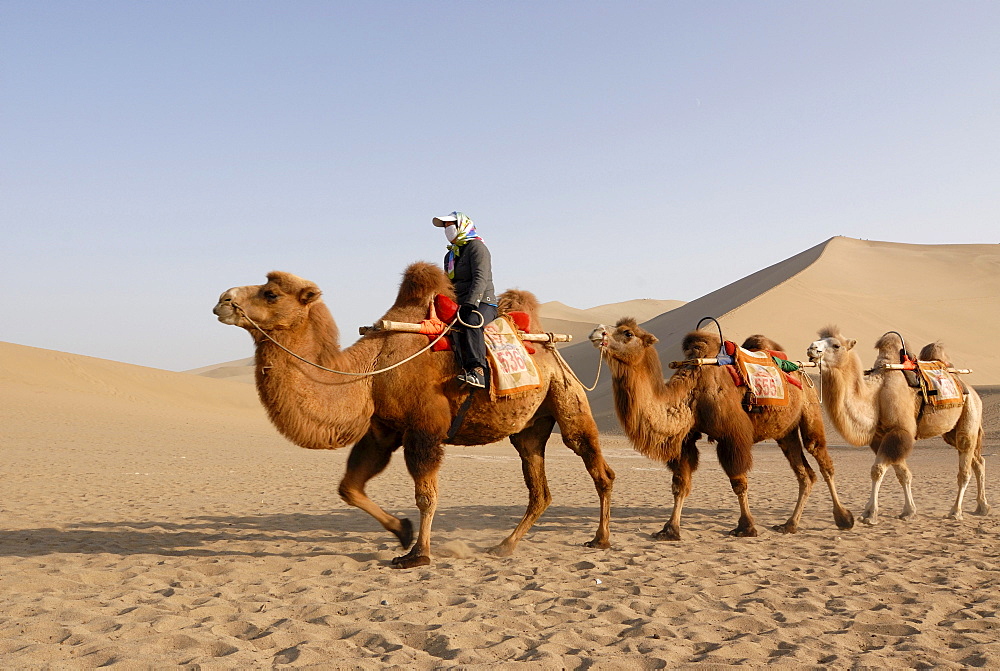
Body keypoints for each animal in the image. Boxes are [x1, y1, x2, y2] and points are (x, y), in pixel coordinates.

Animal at [213, 262, 616, 568]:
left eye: (271, 293)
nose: (222, 299)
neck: (371, 369)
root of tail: (548, 343)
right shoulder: (383, 431)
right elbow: (350, 487)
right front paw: (402, 531)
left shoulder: (423, 430)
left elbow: (426, 495)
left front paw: (418, 554)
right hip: (529, 426)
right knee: (539, 488)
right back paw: (505, 545)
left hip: (568, 400)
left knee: (597, 467)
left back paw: (600, 539)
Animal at [588, 320, 856, 540]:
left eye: (627, 332)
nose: (596, 332)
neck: (692, 389)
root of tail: (800, 369)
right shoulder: (686, 440)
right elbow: (680, 484)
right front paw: (670, 529)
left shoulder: (731, 436)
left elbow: (739, 482)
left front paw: (746, 526)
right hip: (785, 433)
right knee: (805, 474)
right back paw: (789, 524)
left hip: (810, 411)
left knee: (822, 460)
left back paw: (844, 518)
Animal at [804, 326, 984, 524]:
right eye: (819, 339)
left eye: (836, 345)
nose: (811, 349)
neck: (876, 394)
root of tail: (972, 391)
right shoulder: (881, 436)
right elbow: (903, 474)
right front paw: (908, 511)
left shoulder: (899, 432)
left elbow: (877, 470)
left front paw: (870, 514)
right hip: (951, 432)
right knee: (978, 461)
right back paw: (982, 507)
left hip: (969, 417)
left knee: (965, 467)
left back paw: (956, 511)